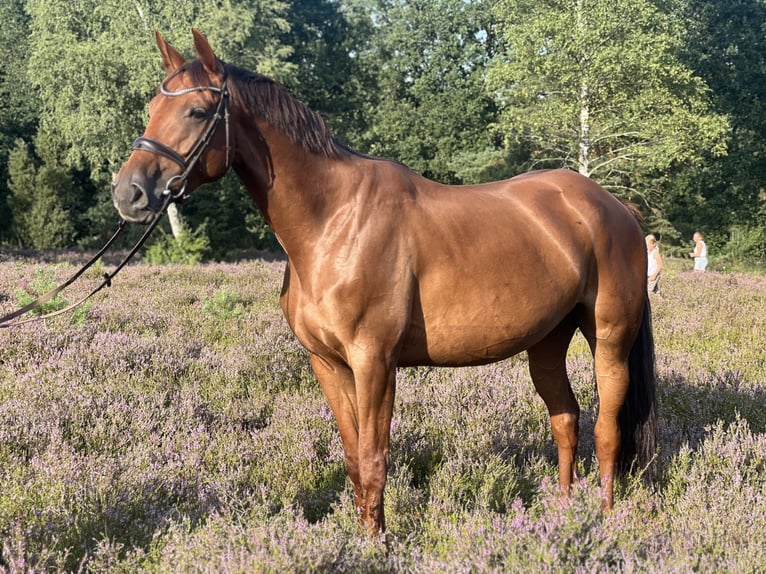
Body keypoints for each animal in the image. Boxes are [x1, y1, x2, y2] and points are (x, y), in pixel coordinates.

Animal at [112, 29, 656, 534]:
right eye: (152, 107)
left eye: (198, 111)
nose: (129, 192)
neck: (333, 221)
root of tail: (613, 208)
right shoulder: (329, 365)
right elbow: (355, 461)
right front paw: (360, 538)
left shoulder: (374, 362)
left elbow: (376, 460)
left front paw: (378, 545)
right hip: (546, 341)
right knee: (565, 419)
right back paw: (563, 516)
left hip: (608, 339)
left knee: (607, 429)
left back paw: (605, 520)